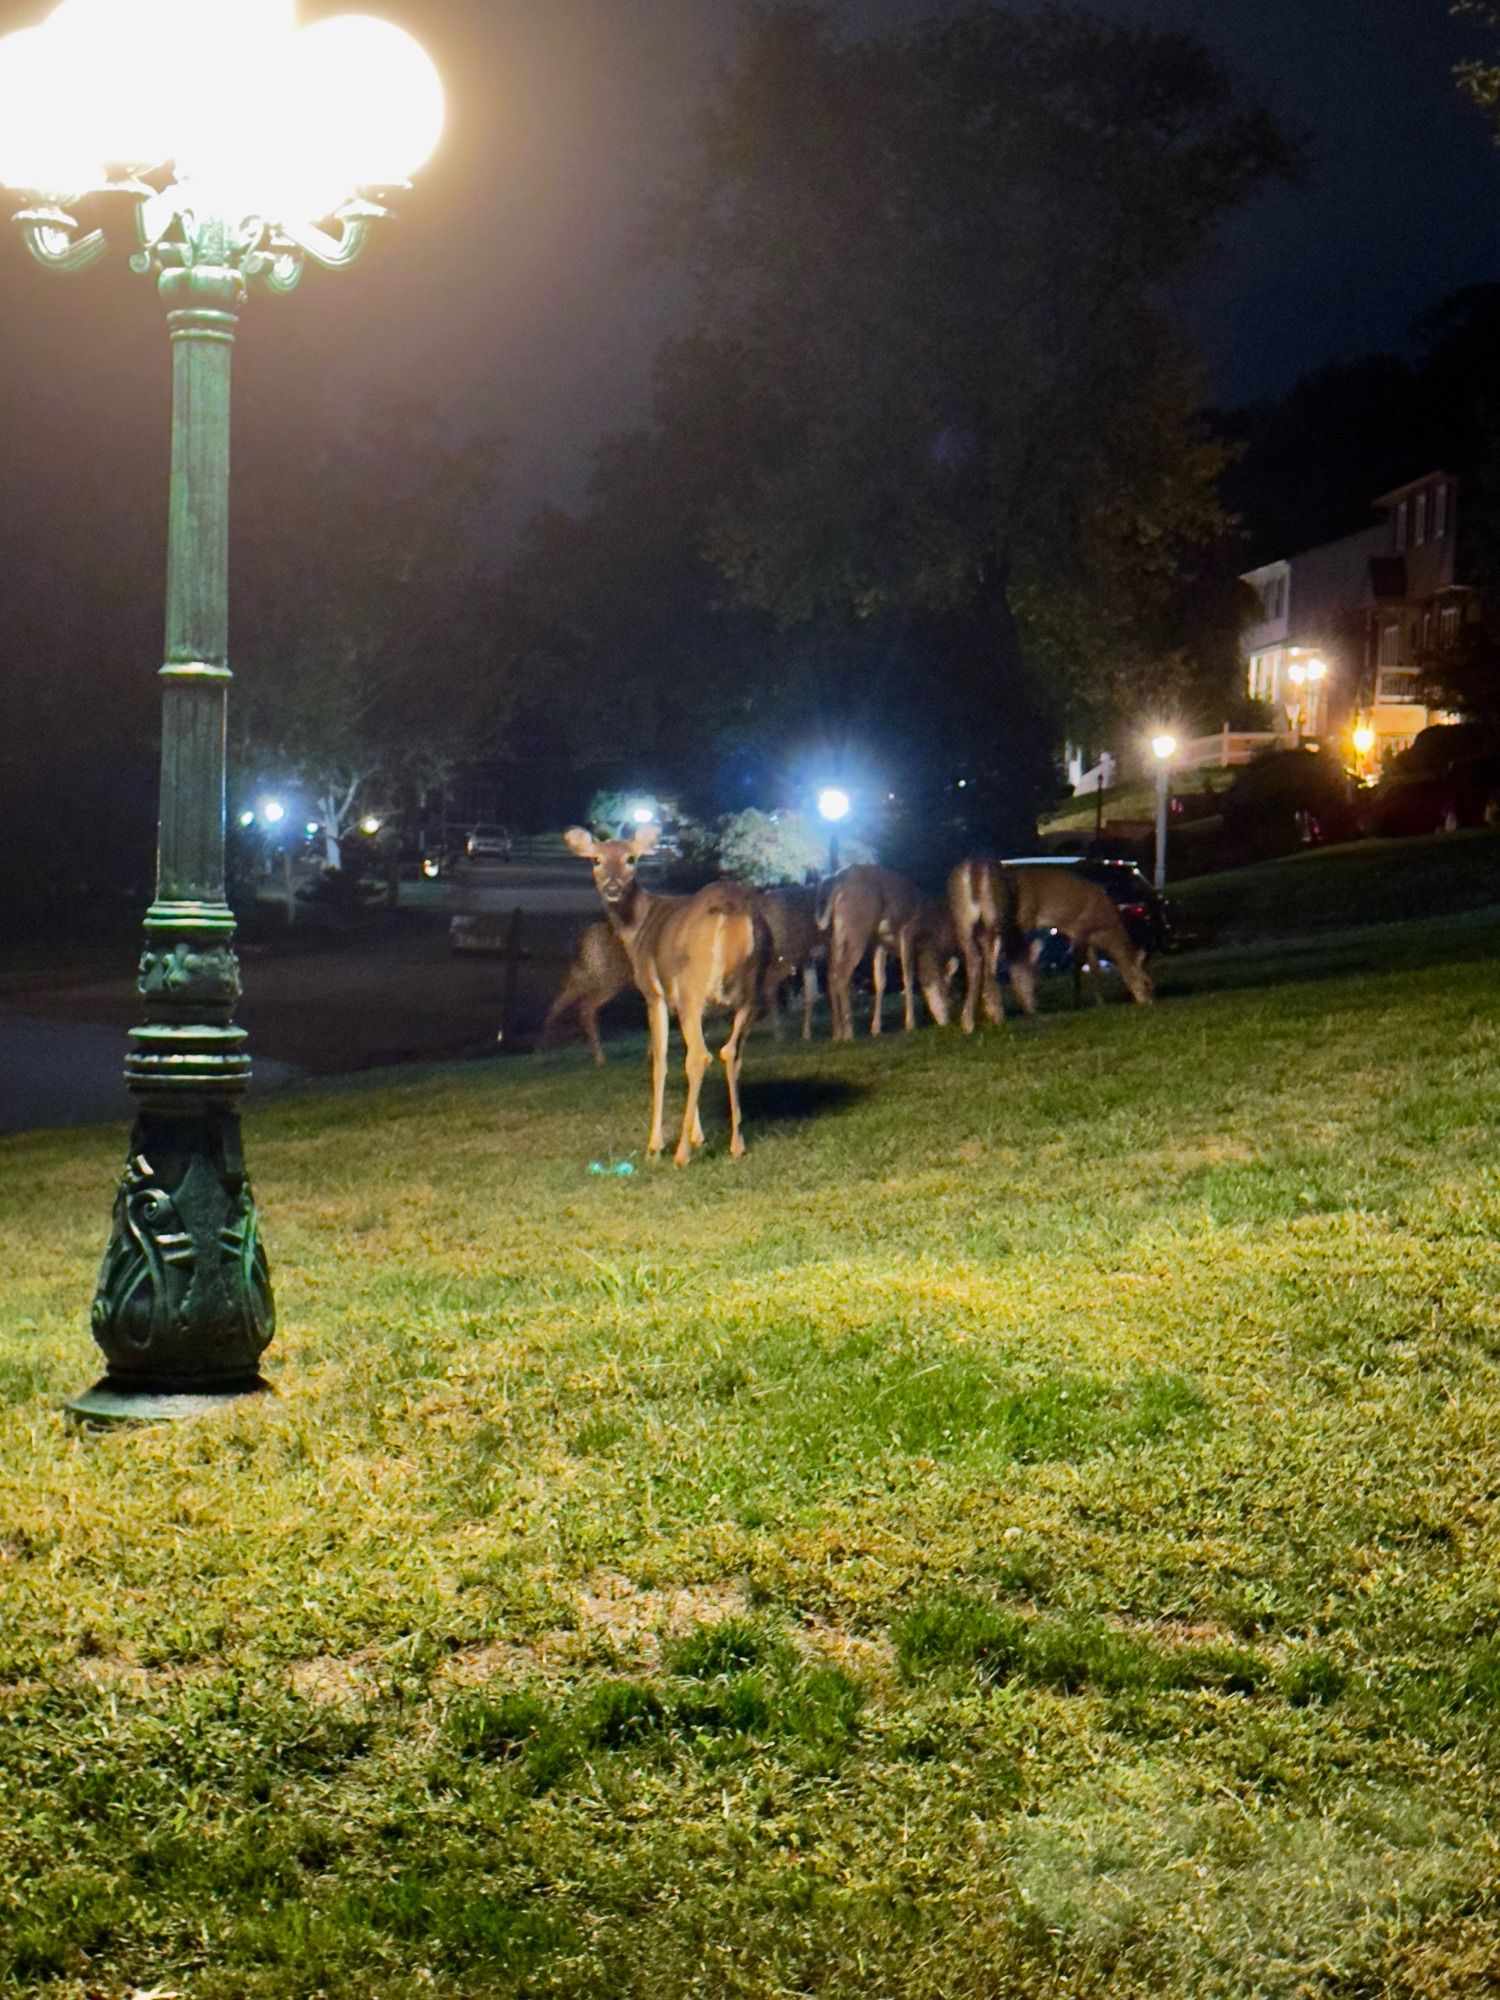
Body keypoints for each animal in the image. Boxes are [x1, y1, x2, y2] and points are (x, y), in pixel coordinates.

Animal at [536, 924, 636, 1072]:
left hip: (579, 979)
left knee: (555, 1007)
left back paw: (542, 1056)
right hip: (610, 978)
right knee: (586, 1008)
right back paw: (600, 1059)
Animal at [568, 824, 776, 1168]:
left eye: (631, 858)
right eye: (597, 860)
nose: (612, 887)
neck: (636, 927)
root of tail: (734, 917)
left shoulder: (655, 995)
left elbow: (659, 1061)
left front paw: (656, 1145)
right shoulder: (683, 1005)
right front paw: (698, 1135)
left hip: (694, 989)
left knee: (701, 1056)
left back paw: (680, 1154)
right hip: (750, 995)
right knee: (730, 1053)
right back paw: (737, 1144)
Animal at [756, 892, 828, 1048]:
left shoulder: (810, 958)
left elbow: (812, 995)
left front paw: (806, 1035)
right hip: (785, 955)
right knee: (769, 987)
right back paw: (779, 1034)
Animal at [816, 864, 956, 1040]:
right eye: (948, 996)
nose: (947, 1022)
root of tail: (839, 882)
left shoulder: (881, 943)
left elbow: (880, 981)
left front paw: (876, 1028)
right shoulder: (908, 932)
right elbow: (908, 977)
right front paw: (910, 1024)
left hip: (837, 932)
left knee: (831, 974)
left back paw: (836, 1033)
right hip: (858, 928)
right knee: (842, 973)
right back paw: (848, 1033)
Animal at [952, 856, 1160, 1032]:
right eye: (1147, 983)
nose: (1150, 1003)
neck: (1106, 928)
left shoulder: (1089, 940)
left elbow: (1094, 968)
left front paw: (1100, 1002)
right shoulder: (1079, 930)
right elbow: (1078, 968)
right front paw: (1078, 1003)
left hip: (969, 925)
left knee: (980, 959)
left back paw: (974, 1019)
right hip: (1014, 921)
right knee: (1001, 960)